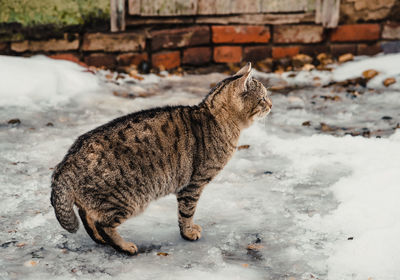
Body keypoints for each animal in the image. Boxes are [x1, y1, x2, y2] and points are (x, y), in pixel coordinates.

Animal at [50, 62, 272, 255]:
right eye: (262, 98)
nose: (271, 105)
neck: (216, 119)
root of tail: (65, 163)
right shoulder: (193, 185)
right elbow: (186, 213)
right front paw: (189, 232)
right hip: (127, 200)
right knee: (103, 224)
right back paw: (124, 246)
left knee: (87, 215)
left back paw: (99, 239)